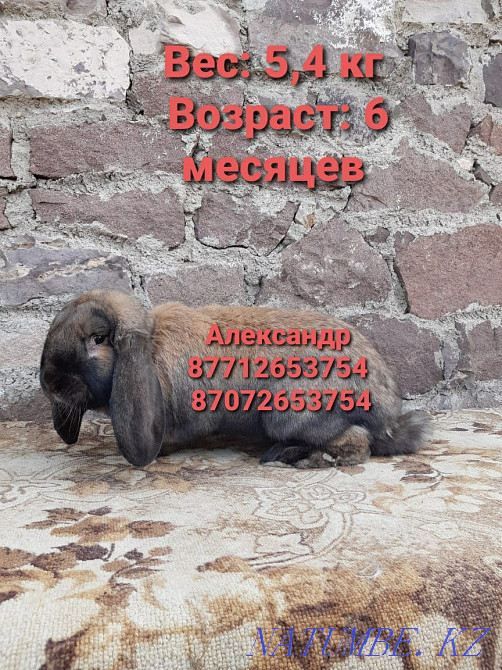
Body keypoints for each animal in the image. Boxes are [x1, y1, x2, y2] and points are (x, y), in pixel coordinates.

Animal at [40, 289, 432, 468]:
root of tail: (389, 415)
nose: (49, 383)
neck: (148, 347)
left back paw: (294, 457)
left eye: (97, 339)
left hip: (288, 413)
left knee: (357, 444)